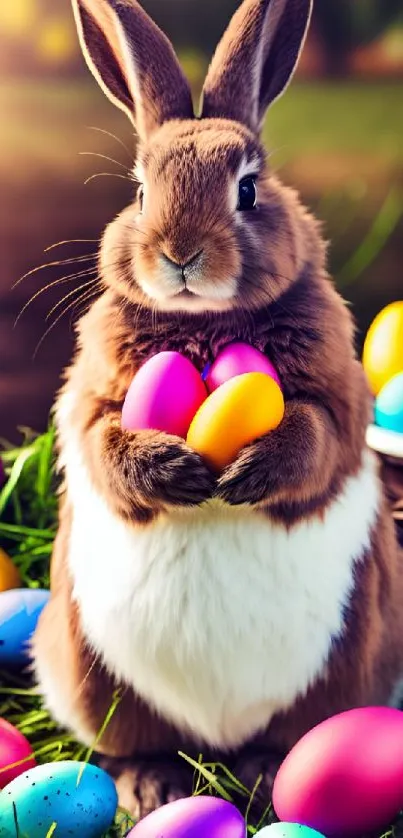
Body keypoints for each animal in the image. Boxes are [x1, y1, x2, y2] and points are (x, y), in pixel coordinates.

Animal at [33, 0, 403, 824]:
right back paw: (155, 787)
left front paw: (245, 473)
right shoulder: (89, 393)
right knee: (136, 744)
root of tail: (218, 733)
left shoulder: (339, 395)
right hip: (95, 675)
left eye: (249, 191)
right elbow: (100, 438)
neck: (203, 326)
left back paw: (264, 774)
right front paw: (174, 473)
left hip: (338, 673)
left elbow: (317, 436)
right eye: (141, 193)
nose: (179, 253)